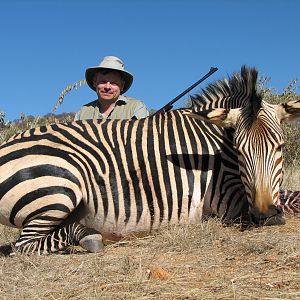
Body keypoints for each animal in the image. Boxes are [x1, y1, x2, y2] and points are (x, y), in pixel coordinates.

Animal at [0, 65, 298, 253]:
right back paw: (90, 237)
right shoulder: (229, 200)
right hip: (61, 186)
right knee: (22, 246)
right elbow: (293, 201)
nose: (264, 214)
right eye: (239, 150)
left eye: (280, 147)